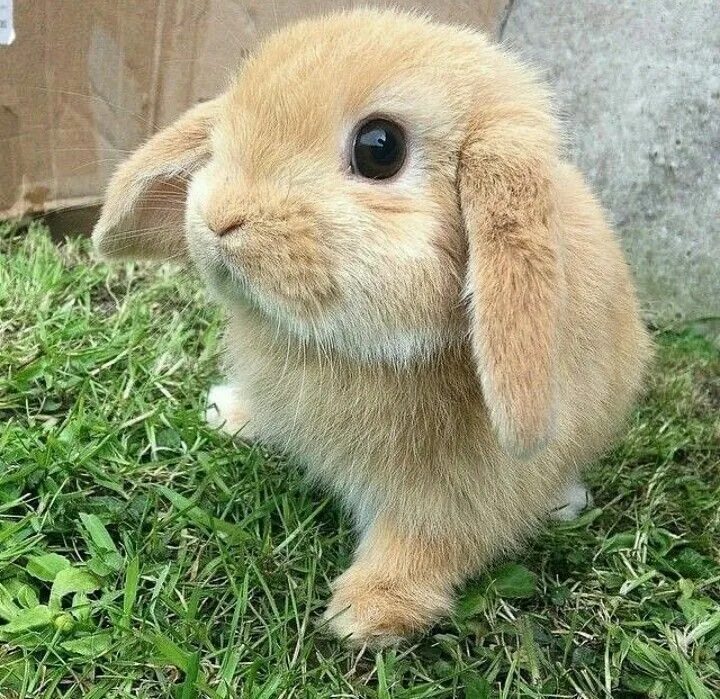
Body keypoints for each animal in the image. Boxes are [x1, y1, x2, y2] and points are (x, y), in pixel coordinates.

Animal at [91, 8, 652, 648]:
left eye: (380, 148)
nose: (217, 218)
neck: (344, 350)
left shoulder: (458, 495)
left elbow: (426, 546)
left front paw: (363, 615)